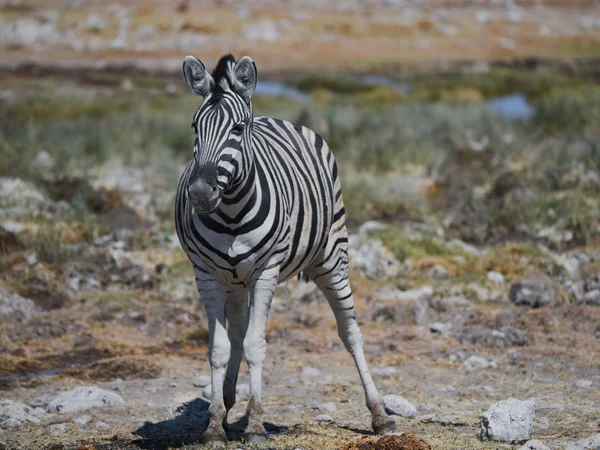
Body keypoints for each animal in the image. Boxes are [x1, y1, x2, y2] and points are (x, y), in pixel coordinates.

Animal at [176, 54, 396, 444]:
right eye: (194, 127)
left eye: (237, 128)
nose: (200, 194)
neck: (231, 213)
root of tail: (276, 118)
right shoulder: (206, 274)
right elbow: (219, 347)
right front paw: (215, 424)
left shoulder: (266, 271)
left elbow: (256, 345)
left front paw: (256, 424)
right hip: (235, 280)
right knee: (237, 332)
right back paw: (228, 401)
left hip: (332, 257)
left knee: (350, 332)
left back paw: (380, 415)